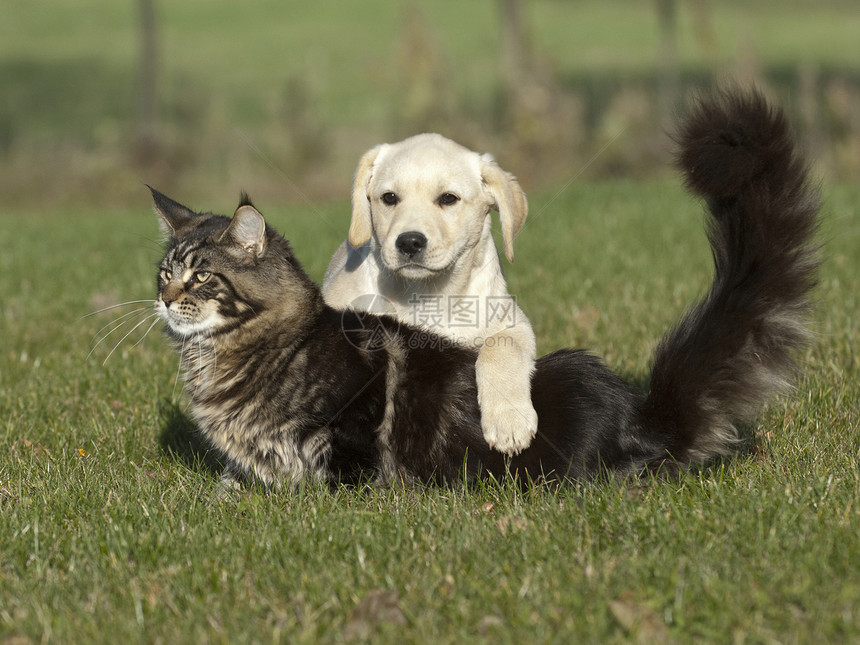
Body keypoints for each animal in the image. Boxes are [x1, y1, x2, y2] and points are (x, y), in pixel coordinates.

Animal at [324, 132, 536, 452]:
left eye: (448, 198)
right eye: (389, 198)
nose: (409, 242)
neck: (427, 293)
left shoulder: (514, 322)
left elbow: (501, 349)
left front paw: (509, 420)